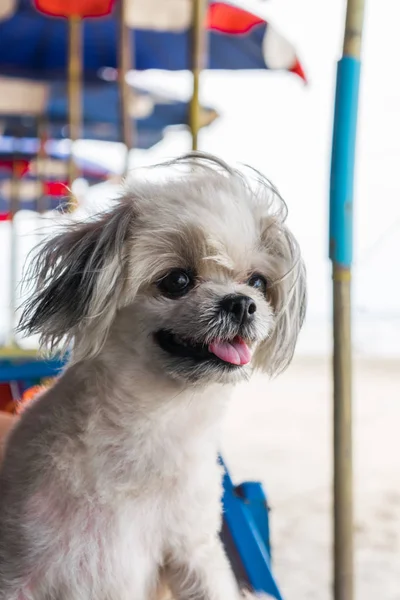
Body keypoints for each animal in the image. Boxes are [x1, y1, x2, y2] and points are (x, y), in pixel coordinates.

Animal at [0, 154, 306, 600]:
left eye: (257, 282)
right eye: (177, 281)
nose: (242, 304)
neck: (151, 425)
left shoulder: (193, 552)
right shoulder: (21, 565)